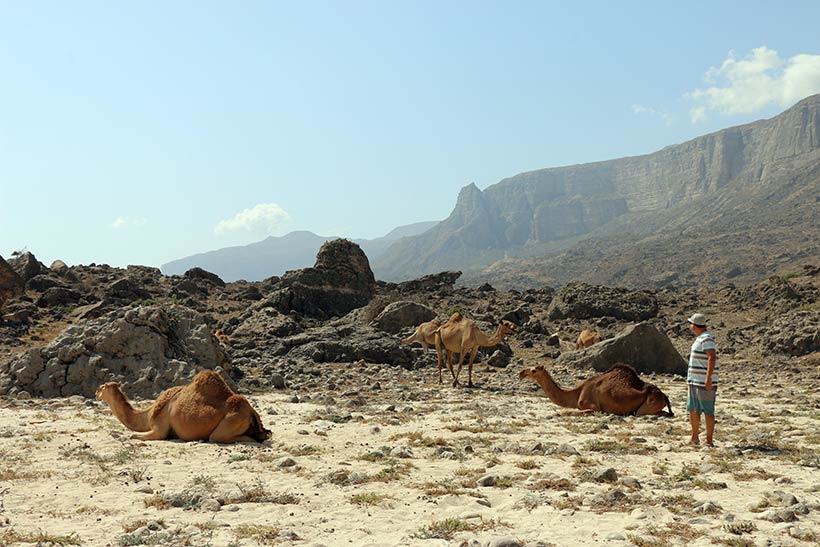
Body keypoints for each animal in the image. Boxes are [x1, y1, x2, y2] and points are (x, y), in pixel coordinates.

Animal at [95, 370, 270, 444]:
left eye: (102, 387)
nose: (96, 392)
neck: (148, 413)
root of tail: (251, 412)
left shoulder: (159, 429)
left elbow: (133, 435)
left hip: (230, 422)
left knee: (219, 437)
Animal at [520, 362, 672, 418]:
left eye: (533, 370)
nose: (521, 373)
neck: (578, 392)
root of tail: (664, 396)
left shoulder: (593, 407)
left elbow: (568, 411)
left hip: (647, 406)